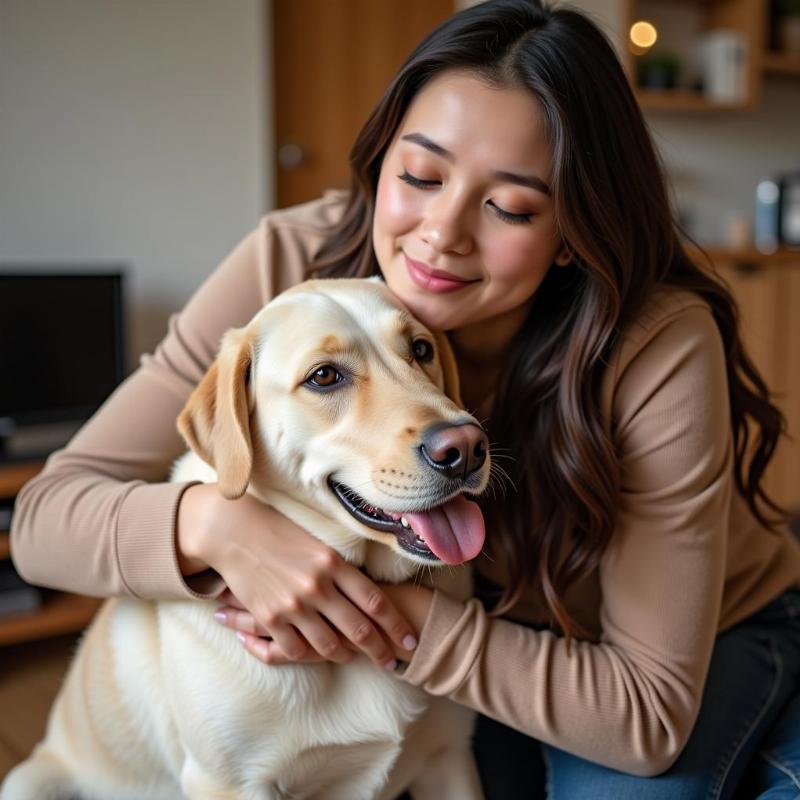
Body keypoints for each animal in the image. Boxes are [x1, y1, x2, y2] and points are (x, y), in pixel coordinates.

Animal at [4, 280, 488, 800]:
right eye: (324, 376)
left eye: (421, 349)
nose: (466, 449)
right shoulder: (227, 782)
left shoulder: (449, 758)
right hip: (28, 779)